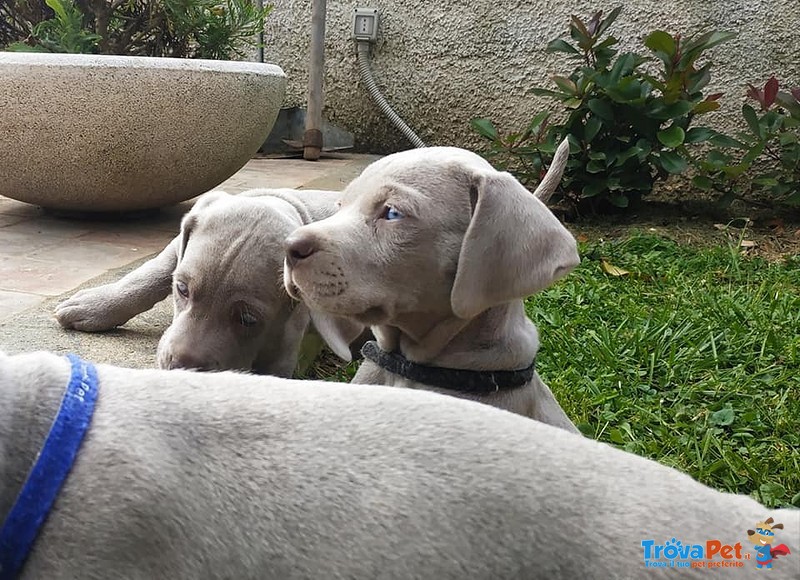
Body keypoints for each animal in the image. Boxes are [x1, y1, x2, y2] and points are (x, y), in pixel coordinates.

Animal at [53, 189, 360, 376]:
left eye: (248, 319)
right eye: (182, 289)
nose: (180, 367)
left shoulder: (285, 340)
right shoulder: (178, 245)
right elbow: (151, 272)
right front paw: (94, 306)